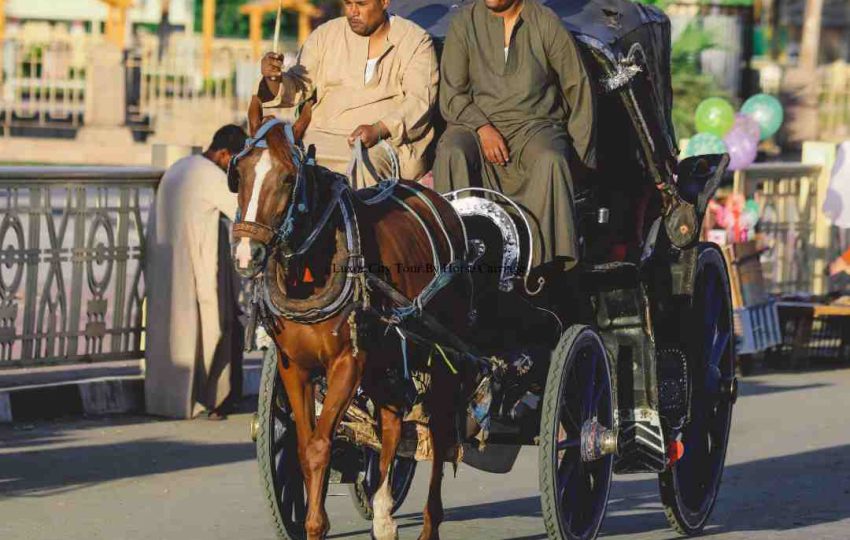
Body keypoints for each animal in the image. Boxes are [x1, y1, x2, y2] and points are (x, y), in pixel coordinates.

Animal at [229, 97, 470, 540]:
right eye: (239, 174)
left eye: (288, 178)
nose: (246, 254)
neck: (311, 267)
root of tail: (442, 204)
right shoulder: (295, 367)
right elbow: (304, 445)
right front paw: (313, 522)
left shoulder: (347, 362)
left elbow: (320, 445)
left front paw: (316, 523)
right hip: (386, 356)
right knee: (391, 425)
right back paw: (384, 513)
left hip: (441, 353)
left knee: (441, 430)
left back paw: (429, 523)